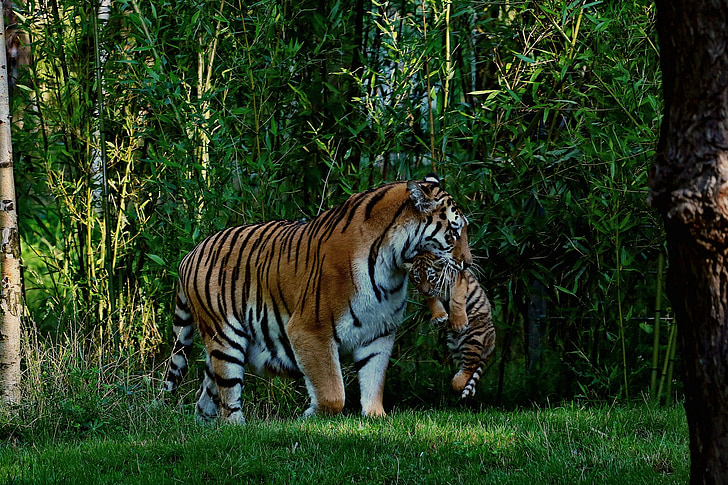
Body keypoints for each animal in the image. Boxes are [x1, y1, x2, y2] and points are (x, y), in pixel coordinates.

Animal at [163, 173, 472, 420]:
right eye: (454, 230)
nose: (468, 262)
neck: (392, 265)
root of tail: (189, 254)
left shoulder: (379, 332)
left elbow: (373, 379)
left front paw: (376, 417)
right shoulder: (310, 330)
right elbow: (332, 392)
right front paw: (311, 415)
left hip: (220, 348)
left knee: (206, 397)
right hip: (225, 337)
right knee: (228, 396)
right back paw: (237, 426)